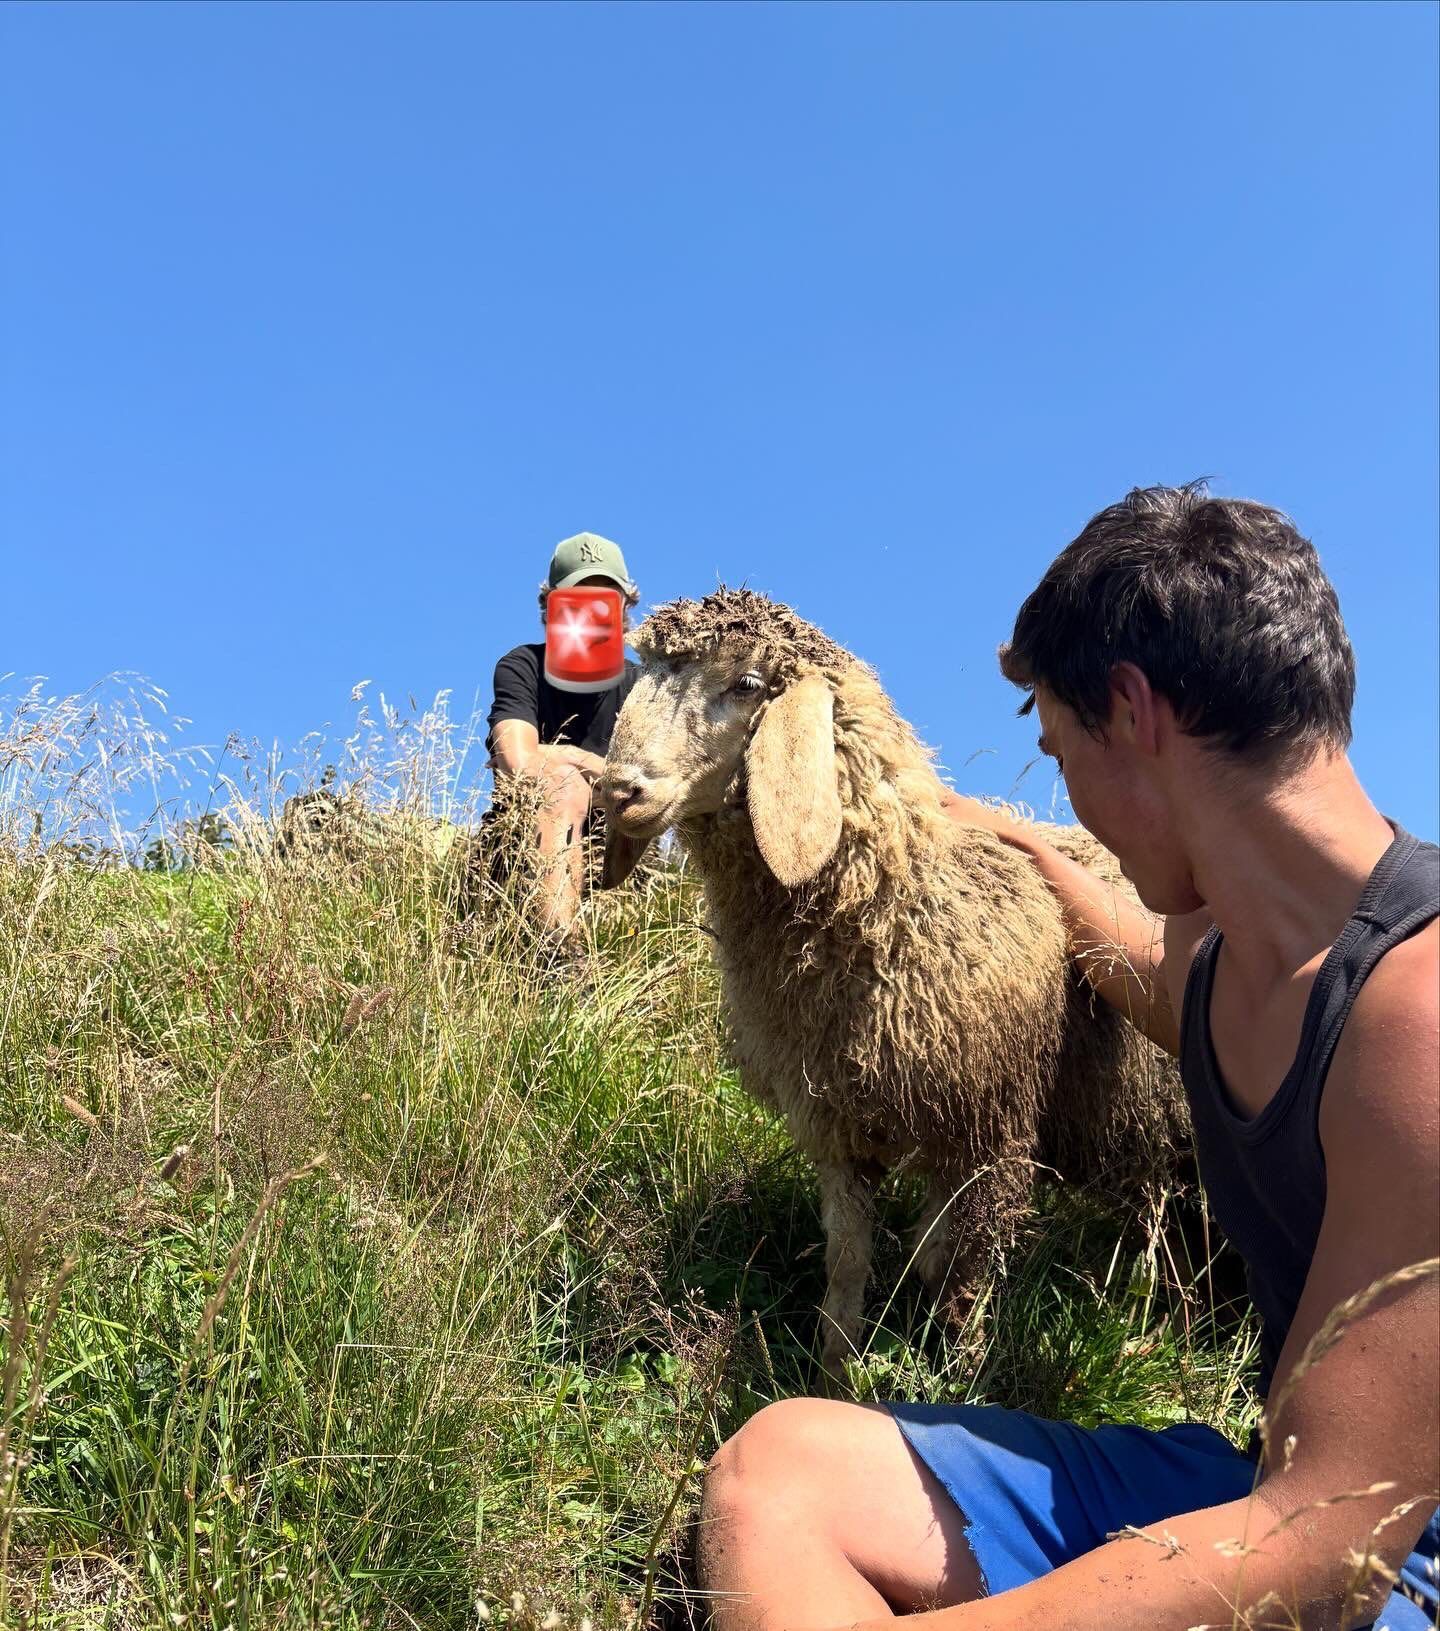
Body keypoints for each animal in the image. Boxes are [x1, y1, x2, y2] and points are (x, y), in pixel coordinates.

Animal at [597, 588, 1188, 1375]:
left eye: (746, 684)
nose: (618, 790)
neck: (893, 901)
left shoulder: (990, 1125)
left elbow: (966, 1272)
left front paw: (962, 1371)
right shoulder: (839, 1123)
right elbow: (852, 1264)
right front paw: (836, 1368)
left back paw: (1140, 1318)